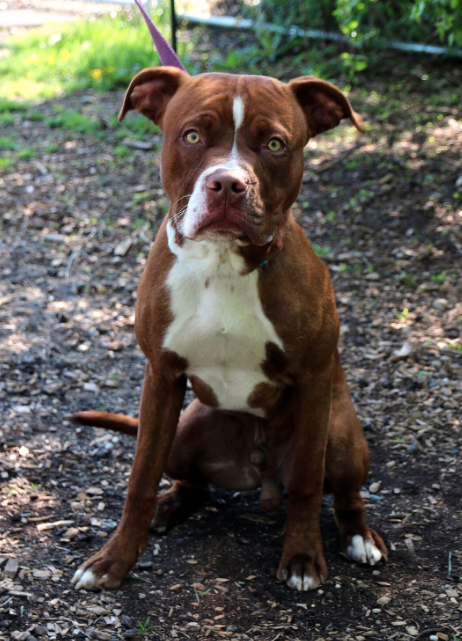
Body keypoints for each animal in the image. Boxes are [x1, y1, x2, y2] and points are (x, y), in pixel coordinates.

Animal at [71, 67, 386, 592]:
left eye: (276, 144)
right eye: (192, 136)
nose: (227, 183)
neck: (221, 263)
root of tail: (261, 474)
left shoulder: (315, 380)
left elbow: (307, 482)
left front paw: (303, 557)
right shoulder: (161, 376)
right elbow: (140, 478)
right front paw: (114, 559)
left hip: (342, 436)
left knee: (344, 493)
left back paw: (359, 536)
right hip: (184, 433)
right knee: (188, 480)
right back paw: (169, 506)